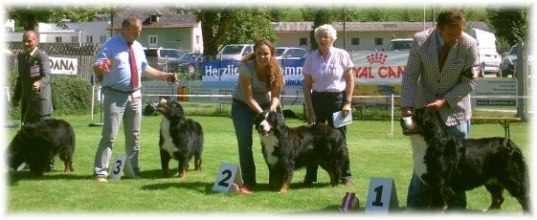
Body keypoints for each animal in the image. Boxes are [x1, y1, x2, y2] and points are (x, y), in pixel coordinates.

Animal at [398, 107, 528, 212]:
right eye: (409, 112)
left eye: (415, 114)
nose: (401, 119)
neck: (430, 143)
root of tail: (511, 144)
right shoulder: (428, 185)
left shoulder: (438, 184)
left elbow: (436, 208)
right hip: (491, 179)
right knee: (498, 198)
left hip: (511, 178)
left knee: (523, 198)